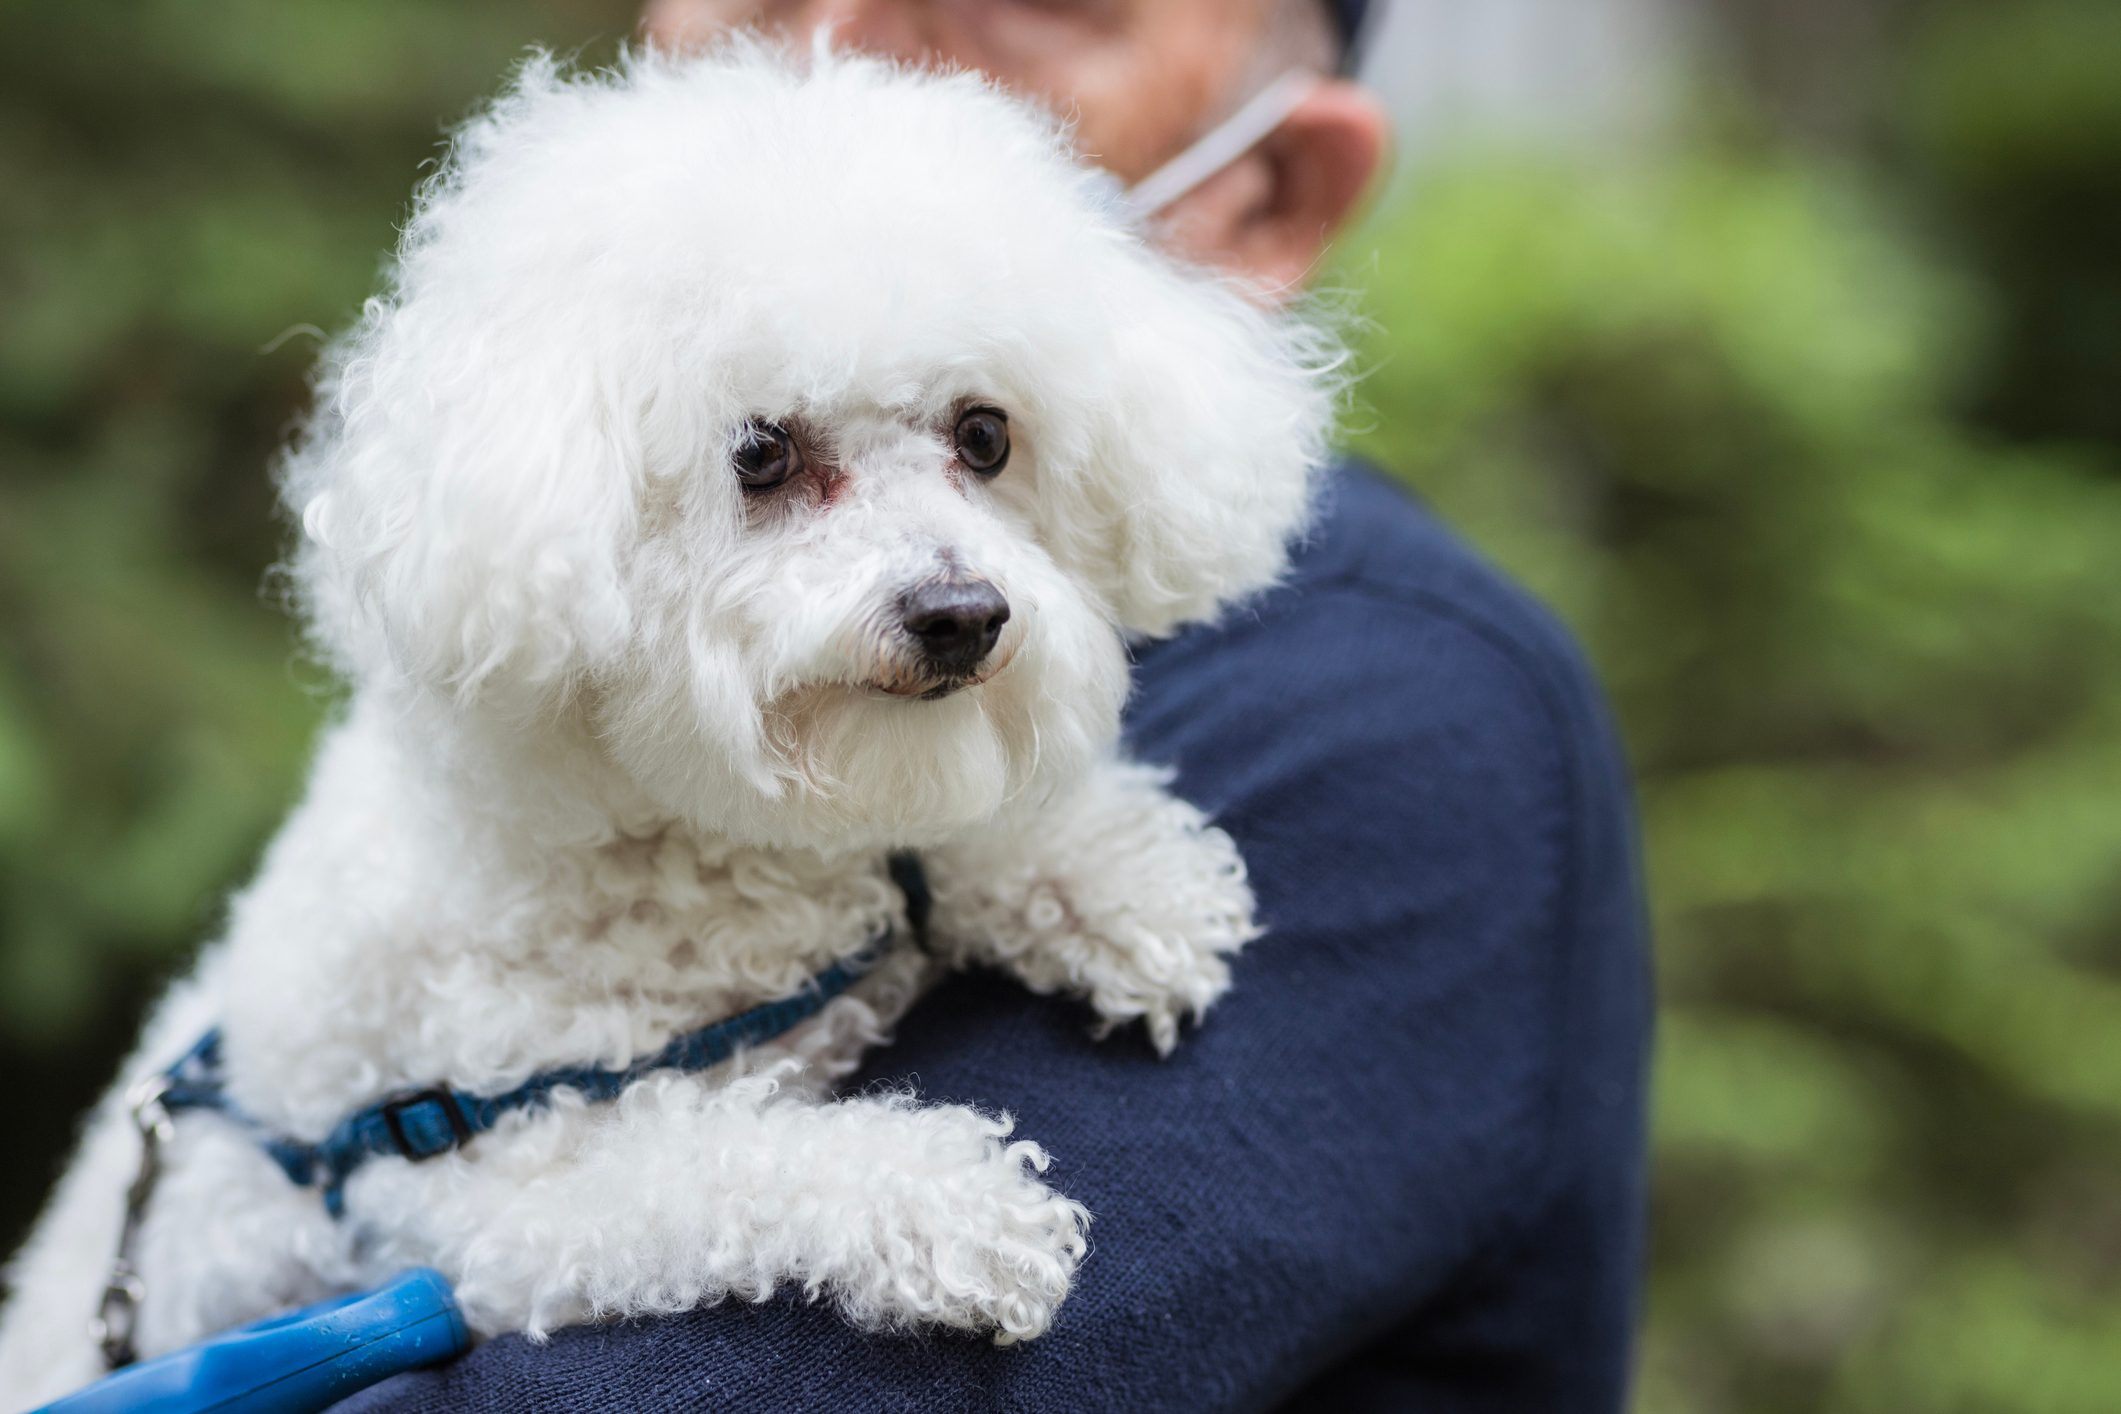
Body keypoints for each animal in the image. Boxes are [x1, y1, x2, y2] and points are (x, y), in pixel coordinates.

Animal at [0, 41, 1323, 1407]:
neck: (694, 854)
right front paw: (951, 1208)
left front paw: (1124, 881)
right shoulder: (495, 1186)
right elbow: (726, 1163)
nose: (963, 616)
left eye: (984, 434)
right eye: (762, 453)